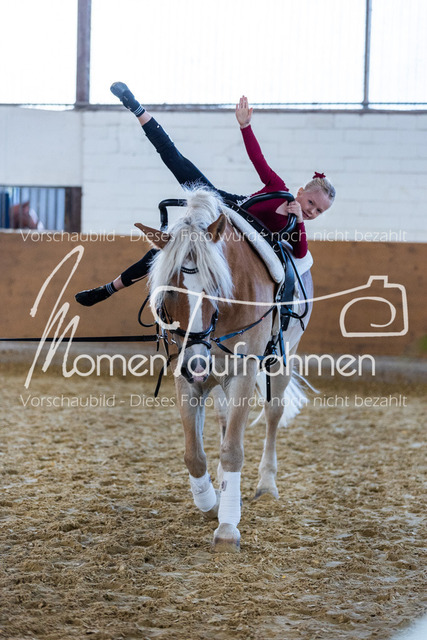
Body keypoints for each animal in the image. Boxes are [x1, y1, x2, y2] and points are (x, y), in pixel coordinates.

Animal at [136, 187, 311, 552]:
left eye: (216, 286)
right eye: (169, 292)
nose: (196, 363)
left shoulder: (243, 373)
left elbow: (233, 451)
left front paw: (228, 528)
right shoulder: (186, 376)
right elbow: (194, 455)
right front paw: (211, 503)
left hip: (280, 360)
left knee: (273, 413)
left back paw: (266, 485)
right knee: (223, 419)